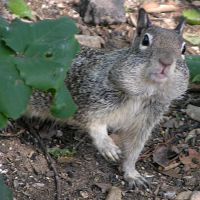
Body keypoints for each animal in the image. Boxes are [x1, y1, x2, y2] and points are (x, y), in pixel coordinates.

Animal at [26, 9, 189, 188]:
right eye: (145, 40)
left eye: (184, 49)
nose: (166, 62)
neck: (144, 93)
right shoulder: (89, 100)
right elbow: (93, 124)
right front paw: (108, 146)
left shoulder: (144, 124)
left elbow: (133, 150)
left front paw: (132, 174)